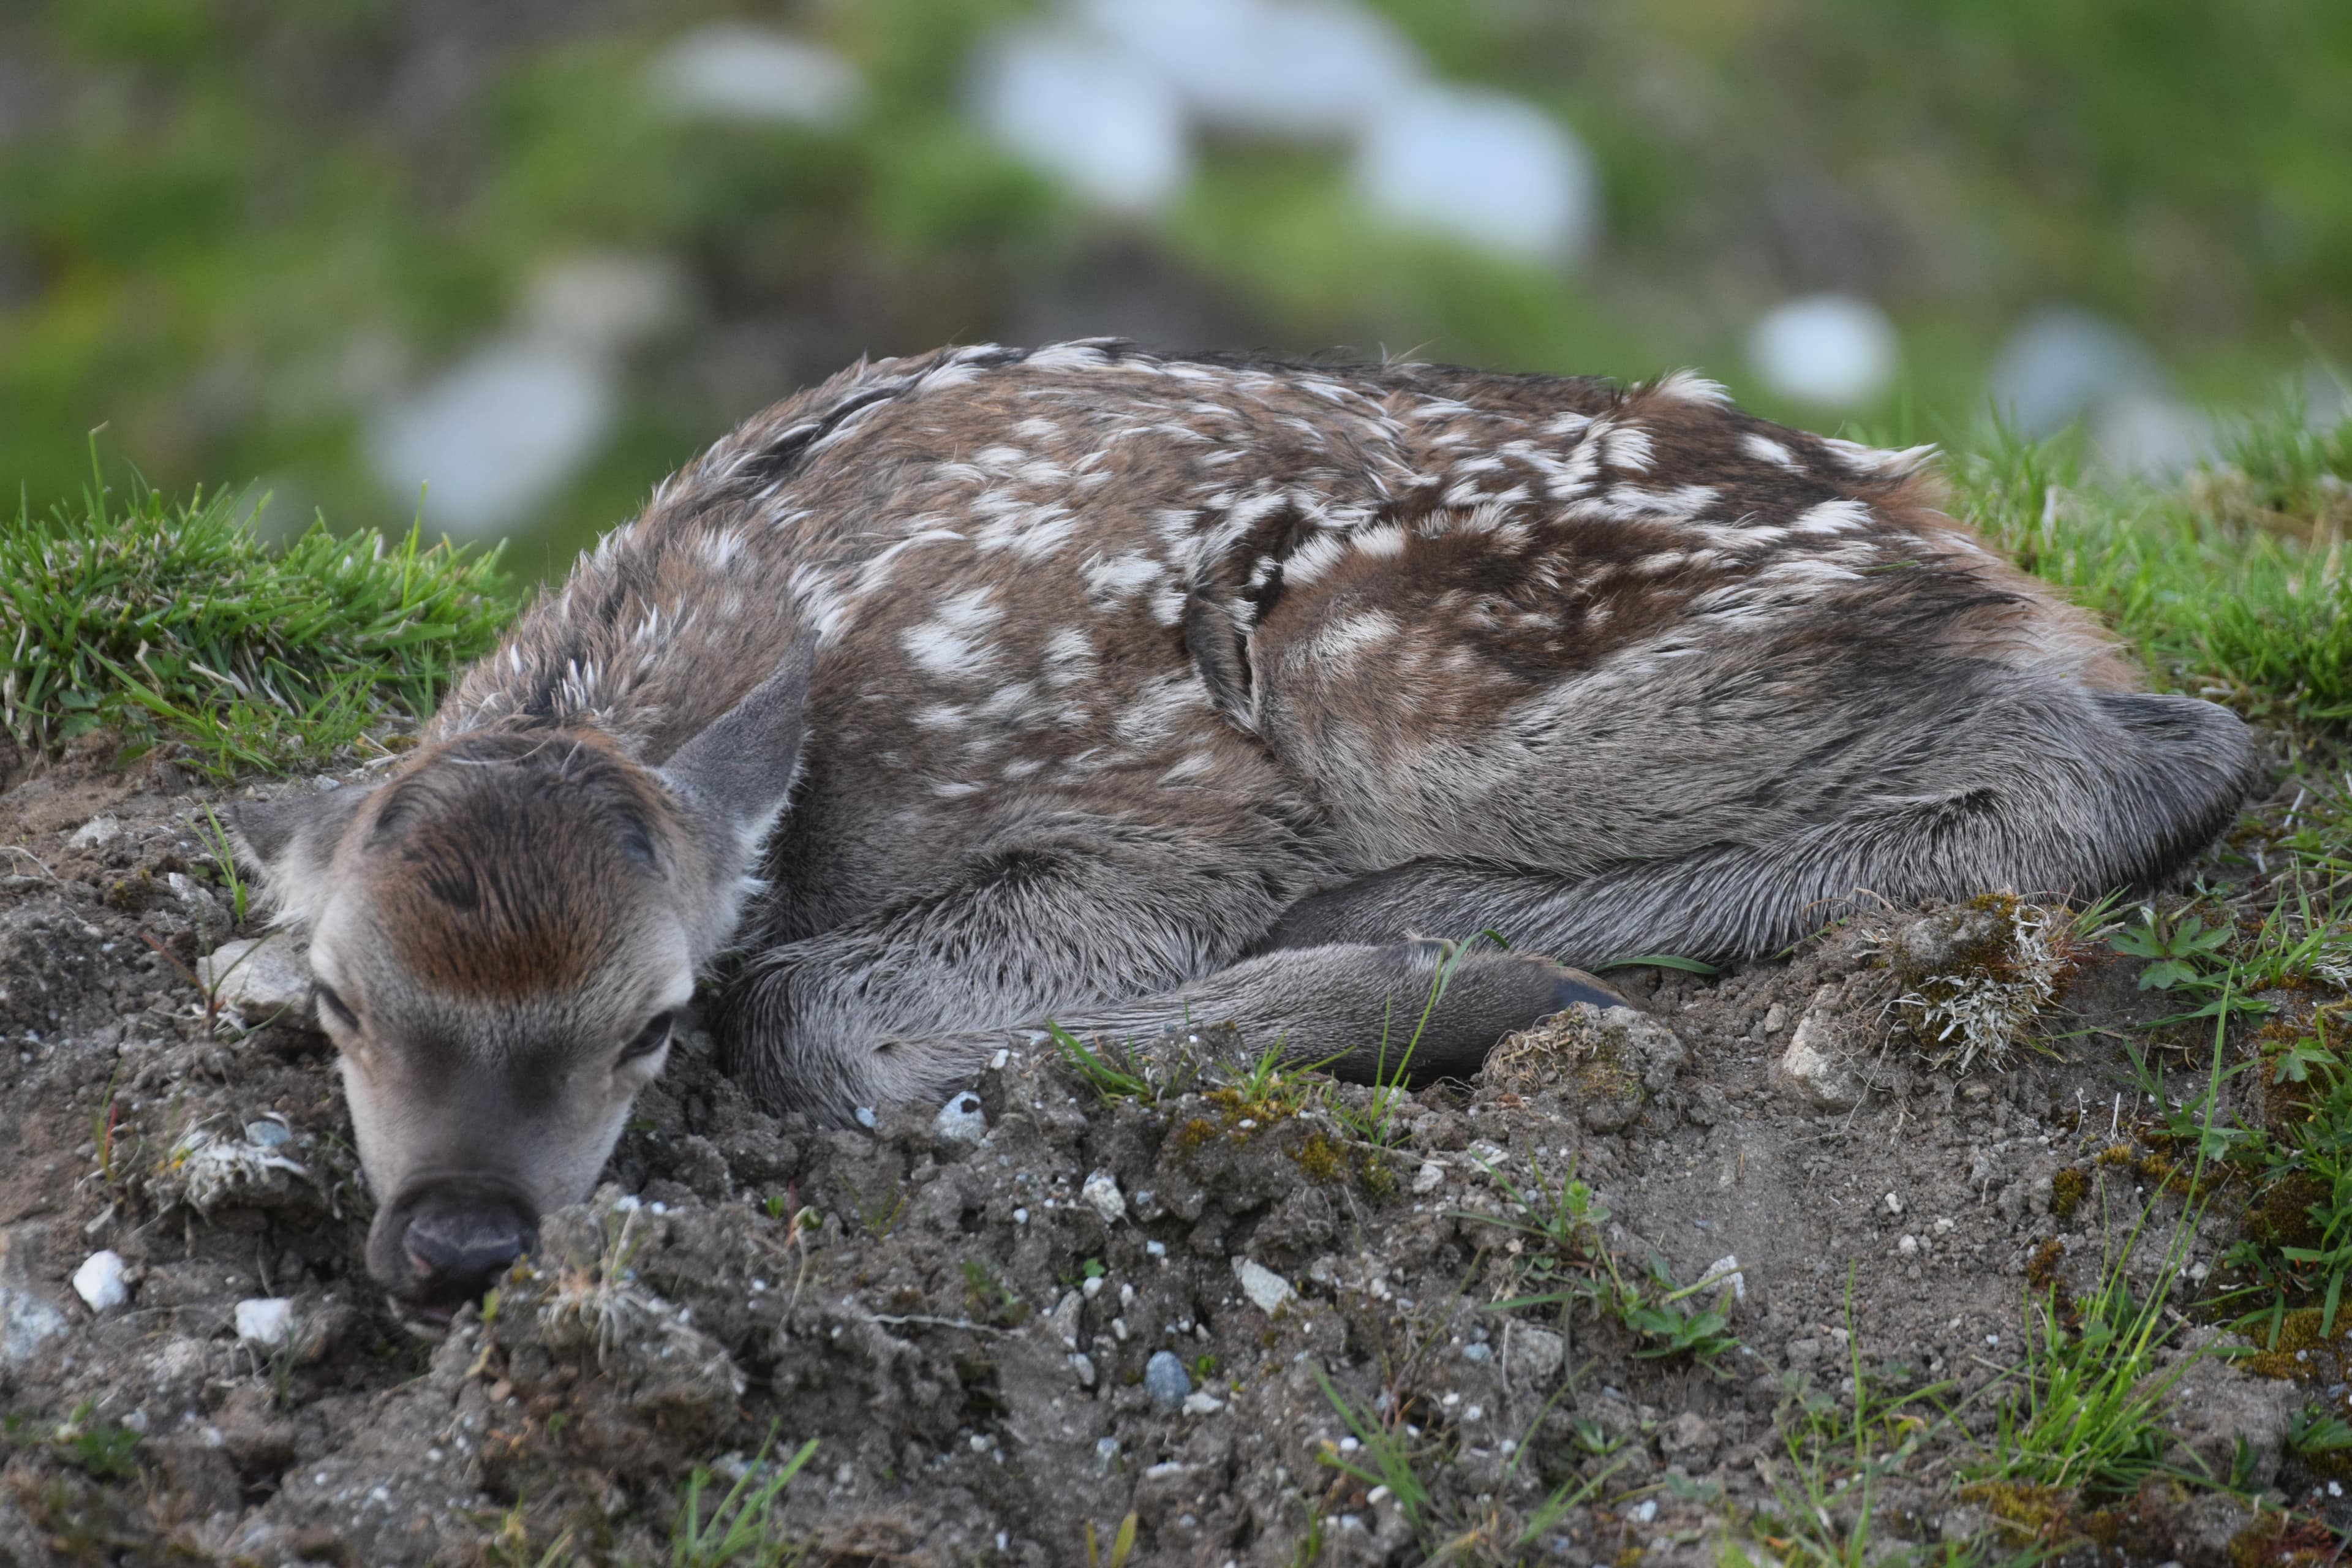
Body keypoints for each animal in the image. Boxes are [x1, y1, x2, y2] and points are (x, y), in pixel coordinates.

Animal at [233, 341, 2258, 1315]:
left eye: (645, 1022)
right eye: (340, 1004)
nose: (459, 1240)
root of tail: (1938, 522)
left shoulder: (1165, 816)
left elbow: (804, 1005)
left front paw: (1434, 991)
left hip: (1396, 672)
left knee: (2151, 748)